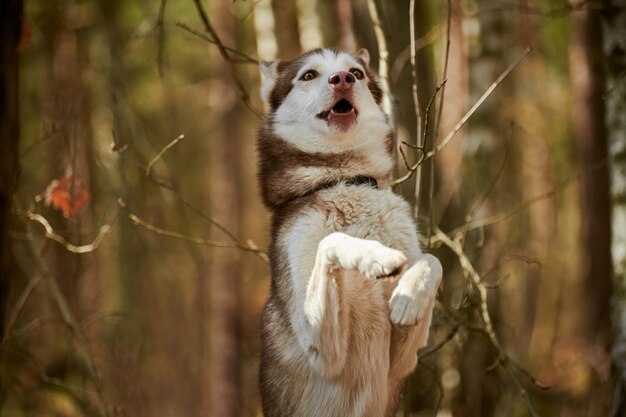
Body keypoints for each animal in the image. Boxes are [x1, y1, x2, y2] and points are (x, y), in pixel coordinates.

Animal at [256, 48, 442, 416]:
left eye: (356, 72)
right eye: (309, 75)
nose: (342, 79)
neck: (344, 179)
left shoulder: (402, 362)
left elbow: (432, 259)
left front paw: (408, 297)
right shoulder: (320, 349)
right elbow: (331, 241)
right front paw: (376, 257)